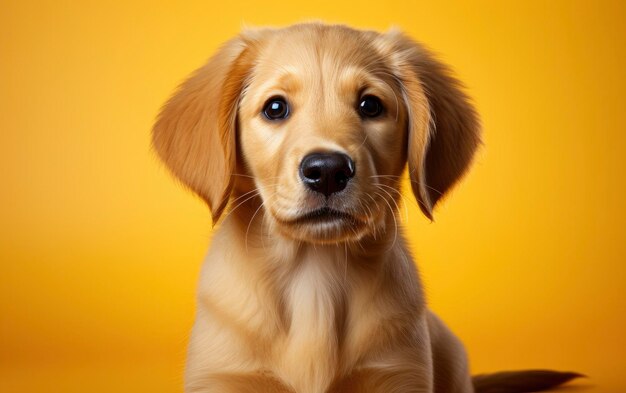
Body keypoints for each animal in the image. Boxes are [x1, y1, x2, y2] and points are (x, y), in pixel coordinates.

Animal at [152, 23, 580, 392]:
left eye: (370, 105)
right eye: (275, 108)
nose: (327, 171)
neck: (314, 276)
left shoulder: (399, 373)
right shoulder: (224, 376)